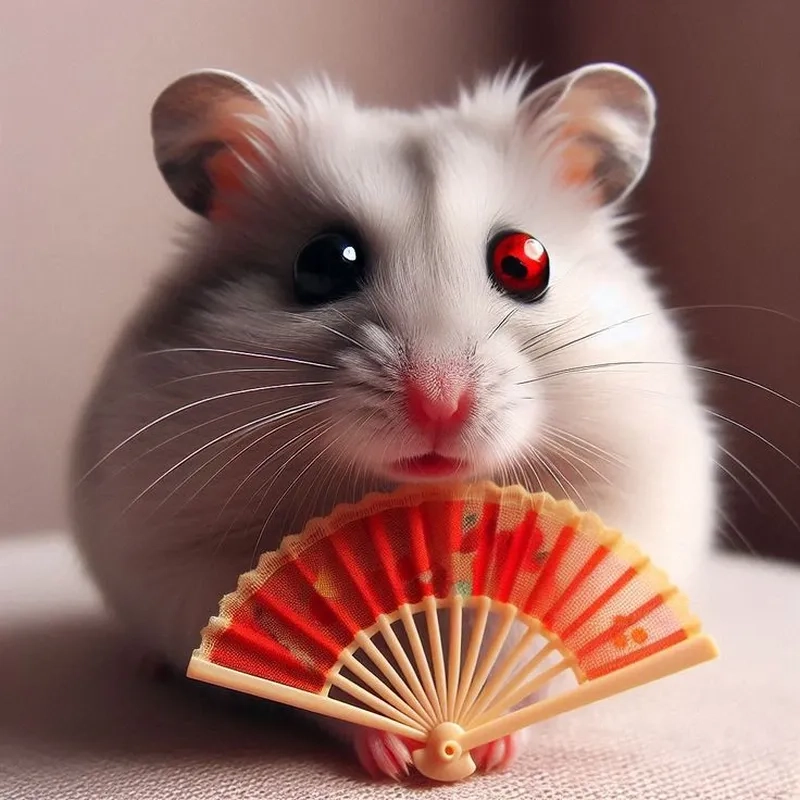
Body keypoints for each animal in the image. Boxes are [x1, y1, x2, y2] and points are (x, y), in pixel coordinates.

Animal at [69, 63, 717, 778]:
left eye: (523, 261)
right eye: (324, 262)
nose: (439, 403)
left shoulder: (621, 509)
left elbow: (519, 639)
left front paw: (489, 749)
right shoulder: (191, 557)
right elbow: (312, 671)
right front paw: (397, 756)